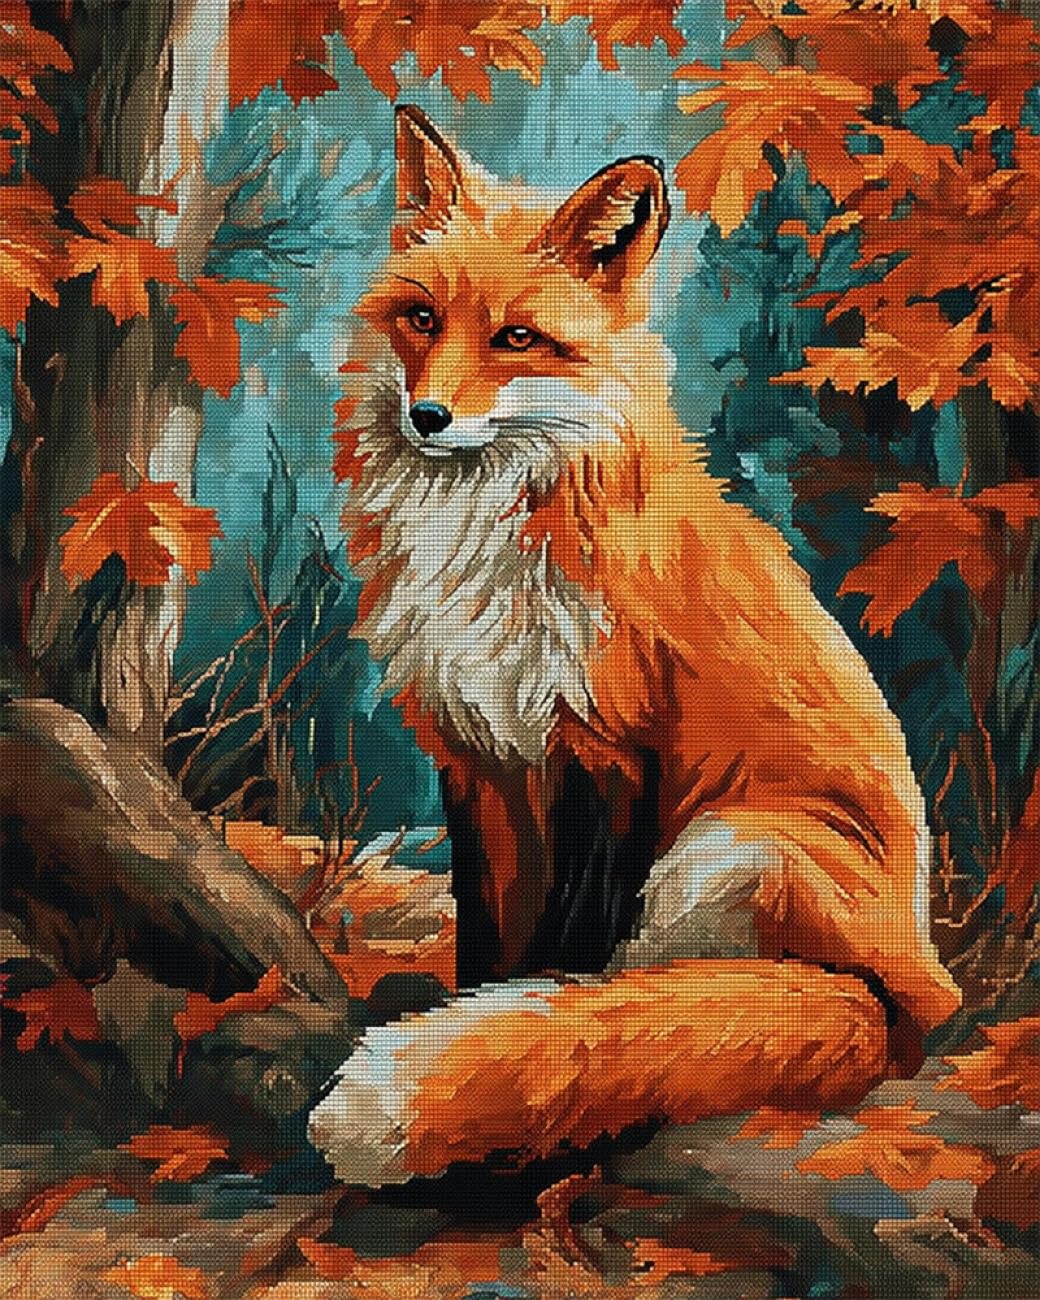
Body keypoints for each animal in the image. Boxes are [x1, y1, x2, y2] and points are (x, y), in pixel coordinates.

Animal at [308, 105, 961, 1187]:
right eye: (421, 319)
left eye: (516, 337)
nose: (426, 416)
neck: (479, 537)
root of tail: (910, 1014)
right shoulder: (476, 753)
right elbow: (489, 937)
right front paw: (478, 1009)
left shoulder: (607, 751)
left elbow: (569, 961)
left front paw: (527, 1051)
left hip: (731, 845)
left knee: (673, 988)